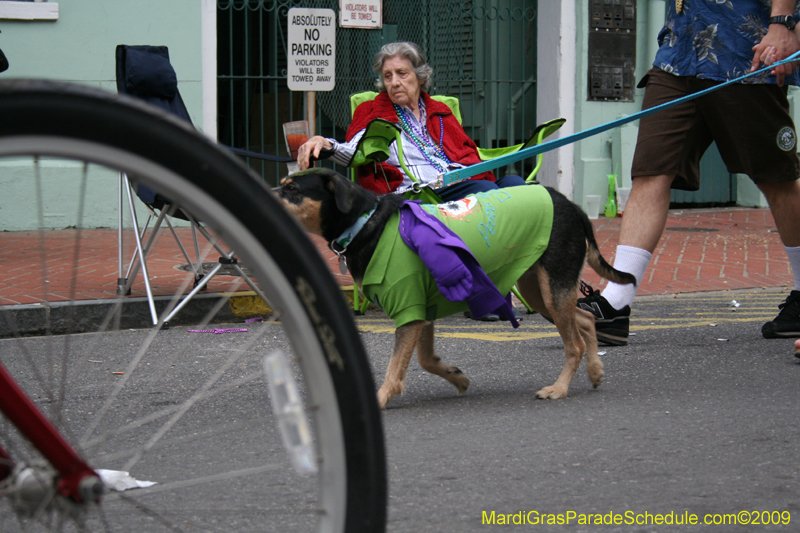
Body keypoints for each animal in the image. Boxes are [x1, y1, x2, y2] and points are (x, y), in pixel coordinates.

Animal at [278, 168, 636, 410]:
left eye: (292, 188)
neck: (365, 223)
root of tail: (572, 205)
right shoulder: (421, 310)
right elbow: (425, 361)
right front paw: (456, 376)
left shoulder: (409, 312)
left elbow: (395, 370)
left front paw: (379, 398)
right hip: (539, 290)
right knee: (585, 321)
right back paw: (594, 372)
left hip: (553, 287)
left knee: (574, 343)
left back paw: (559, 388)